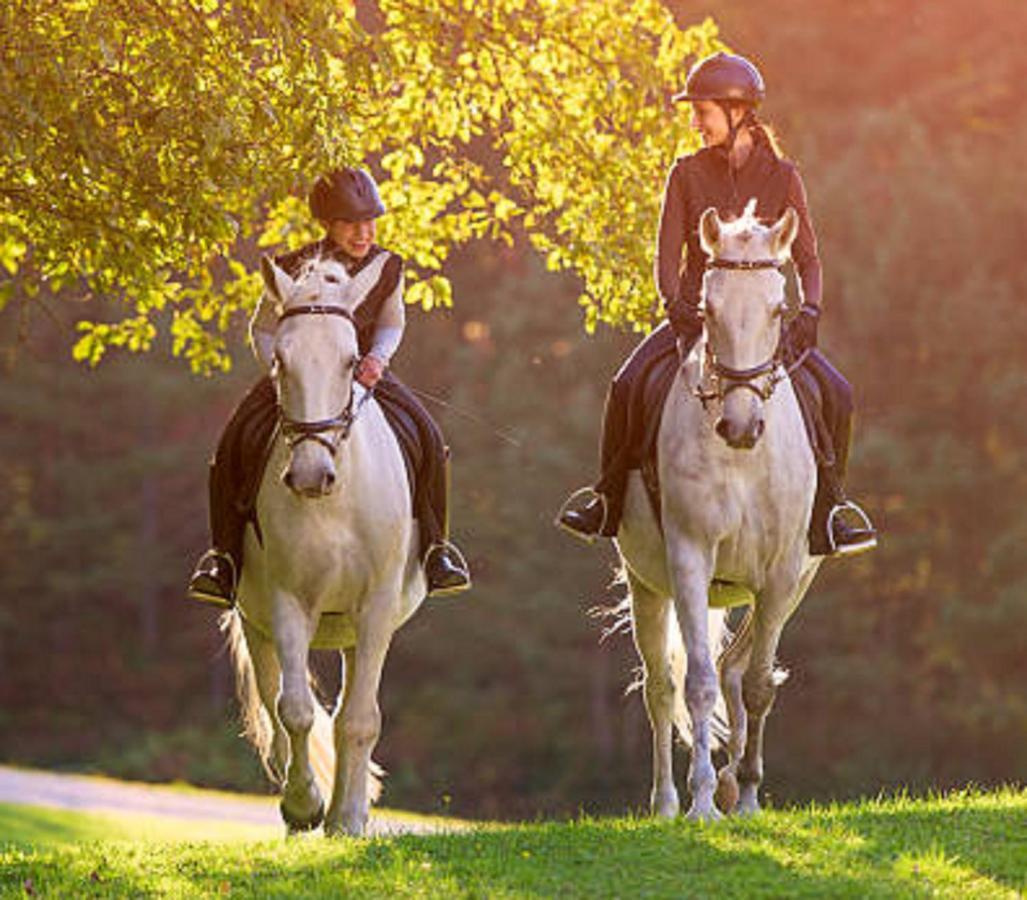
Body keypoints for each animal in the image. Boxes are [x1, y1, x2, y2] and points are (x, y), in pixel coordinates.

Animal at [224, 252, 429, 838]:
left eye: (351, 360)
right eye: (280, 362)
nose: (311, 476)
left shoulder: (377, 608)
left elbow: (359, 720)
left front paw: (350, 819)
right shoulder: (286, 602)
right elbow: (293, 710)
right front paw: (303, 807)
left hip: (359, 631)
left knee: (347, 716)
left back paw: (344, 813)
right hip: (257, 623)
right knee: (277, 706)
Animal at [612, 203, 821, 821]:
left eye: (780, 308)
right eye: (707, 309)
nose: (740, 426)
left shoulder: (781, 574)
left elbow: (757, 685)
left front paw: (746, 794)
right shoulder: (688, 562)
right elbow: (698, 684)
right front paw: (702, 800)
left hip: (784, 586)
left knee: (736, 666)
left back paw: (732, 783)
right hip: (646, 583)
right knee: (660, 687)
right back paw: (665, 802)